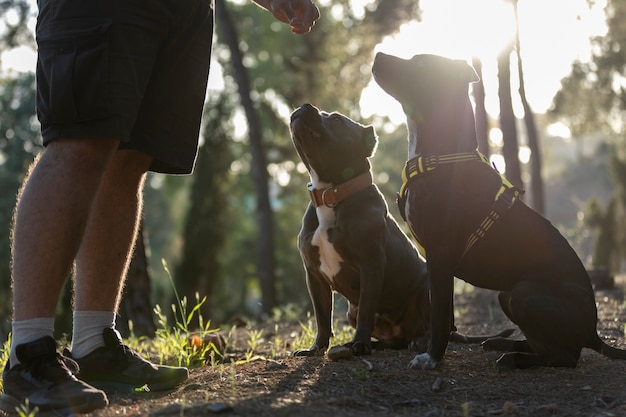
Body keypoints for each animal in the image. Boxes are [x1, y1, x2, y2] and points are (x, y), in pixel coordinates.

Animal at [288, 103, 512, 354]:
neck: (332, 194)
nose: (305, 106)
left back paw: (419, 341)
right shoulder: (314, 276)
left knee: (433, 325)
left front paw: (360, 344)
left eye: (336, 119)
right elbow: (322, 317)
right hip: (352, 313)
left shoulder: (371, 264)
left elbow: (366, 308)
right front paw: (316, 348)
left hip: (428, 290)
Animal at [370, 52, 624, 368]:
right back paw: (503, 344)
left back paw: (514, 359)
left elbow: (440, 315)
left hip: (525, 292)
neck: (441, 157)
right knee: (543, 345)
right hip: (508, 294)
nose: (378, 55)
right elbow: (444, 311)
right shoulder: (437, 261)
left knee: (565, 357)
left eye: (419, 64)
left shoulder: (440, 256)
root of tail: (593, 332)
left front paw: (432, 357)